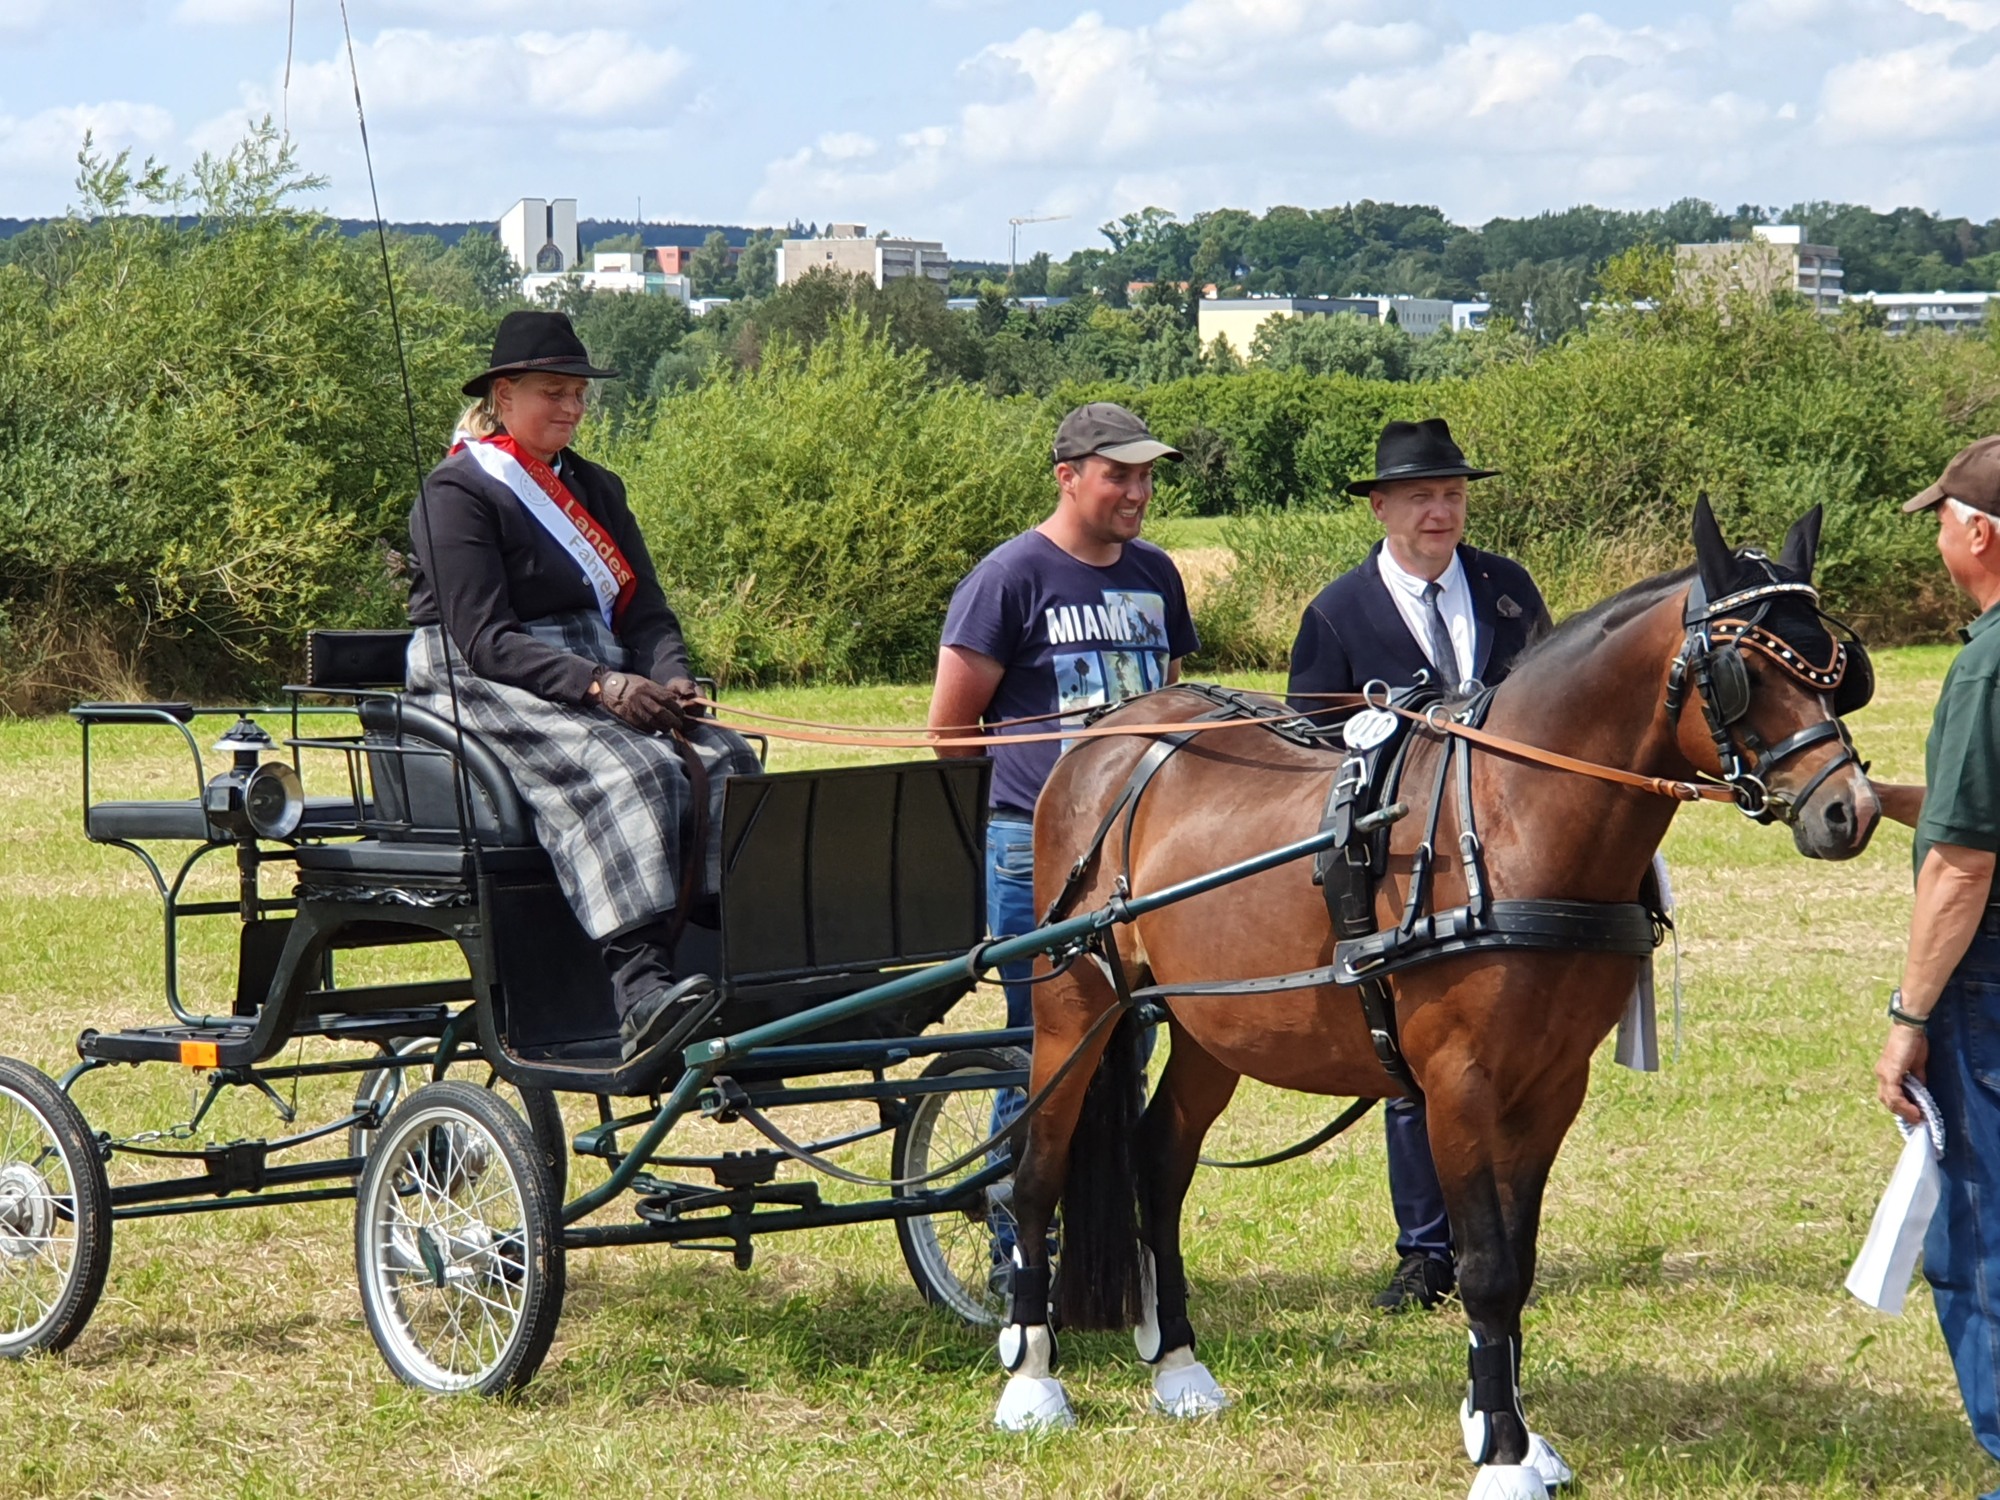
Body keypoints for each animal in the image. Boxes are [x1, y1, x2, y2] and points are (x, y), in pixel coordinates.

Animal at [994, 501, 1880, 1500]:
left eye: (1838, 668)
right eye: (1746, 672)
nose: (1850, 810)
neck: (1507, 817)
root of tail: (1112, 736)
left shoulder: (1551, 1087)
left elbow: (1517, 1262)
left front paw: (1518, 1434)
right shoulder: (1462, 1083)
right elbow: (1487, 1264)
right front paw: (1500, 1453)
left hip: (1212, 1026)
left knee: (1158, 1161)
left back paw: (1180, 1365)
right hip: (1075, 1004)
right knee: (1037, 1167)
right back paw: (1032, 1378)